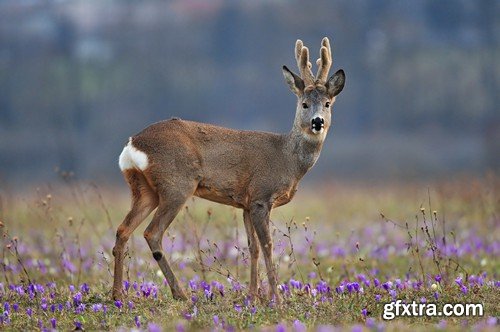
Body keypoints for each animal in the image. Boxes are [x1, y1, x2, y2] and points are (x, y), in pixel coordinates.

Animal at [112, 37, 344, 302]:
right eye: (304, 104)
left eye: (327, 103)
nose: (318, 122)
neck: (287, 158)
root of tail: (133, 144)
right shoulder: (261, 197)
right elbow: (267, 246)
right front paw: (276, 298)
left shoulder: (246, 204)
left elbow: (252, 247)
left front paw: (253, 295)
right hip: (177, 185)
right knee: (152, 233)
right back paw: (179, 293)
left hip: (143, 189)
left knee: (123, 230)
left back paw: (117, 294)